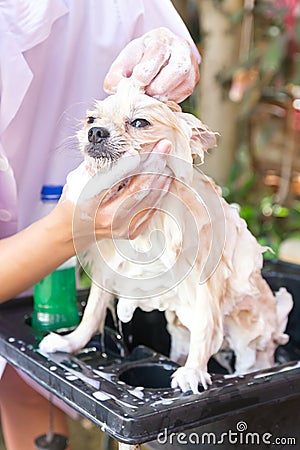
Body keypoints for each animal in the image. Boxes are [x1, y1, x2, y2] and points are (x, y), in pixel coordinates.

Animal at [38, 80, 292, 394]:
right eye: (91, 119)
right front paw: (70, 341)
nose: (95, 132)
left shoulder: (204, 279)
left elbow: (205, 326)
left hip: (255, 343)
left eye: (139, 122)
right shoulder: (109, 267)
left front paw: (193, 371)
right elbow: (92, 312)